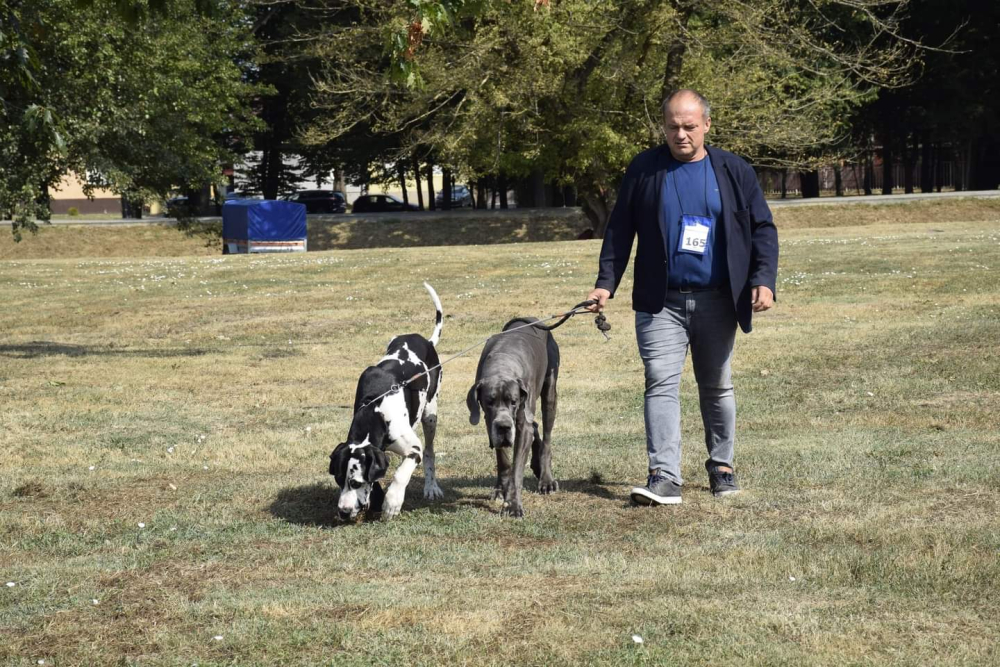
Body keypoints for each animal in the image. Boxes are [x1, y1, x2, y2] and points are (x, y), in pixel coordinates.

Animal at [330, 284, 444, 520]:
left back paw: (431, 487)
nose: (343, 512)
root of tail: (426, 341)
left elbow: (401, 473)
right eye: (338, 480)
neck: (376, 410)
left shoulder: (414, 448)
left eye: (356, 483)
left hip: (430, 414)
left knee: (429, 452)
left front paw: (392, 502)